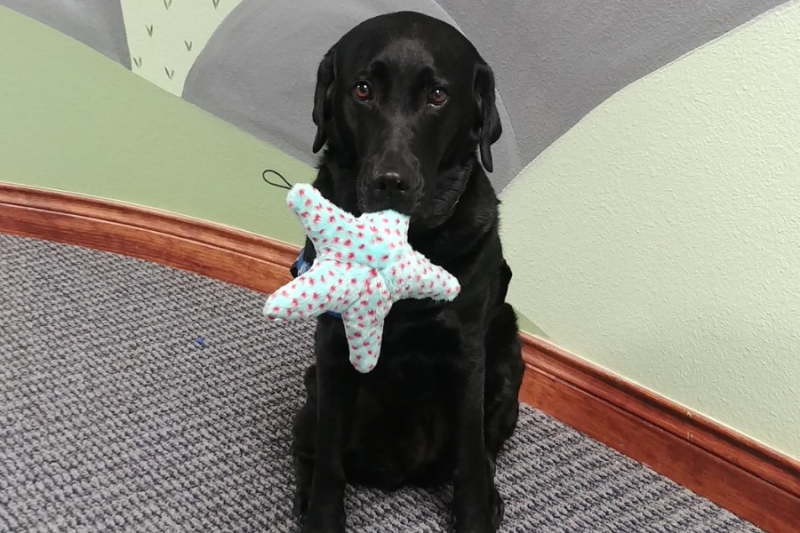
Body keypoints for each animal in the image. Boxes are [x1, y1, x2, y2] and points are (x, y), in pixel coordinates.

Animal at [288, 9, 524, 532]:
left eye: (438, 95)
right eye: (362, 90)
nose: (390, 182)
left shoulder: (468, 357)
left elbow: (471, 461)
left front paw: (476, 513)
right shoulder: (333, 350)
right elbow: (330, 462)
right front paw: (323, 516)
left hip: (508, 359)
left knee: (484, 449)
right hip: (314, 387)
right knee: (308, 443)